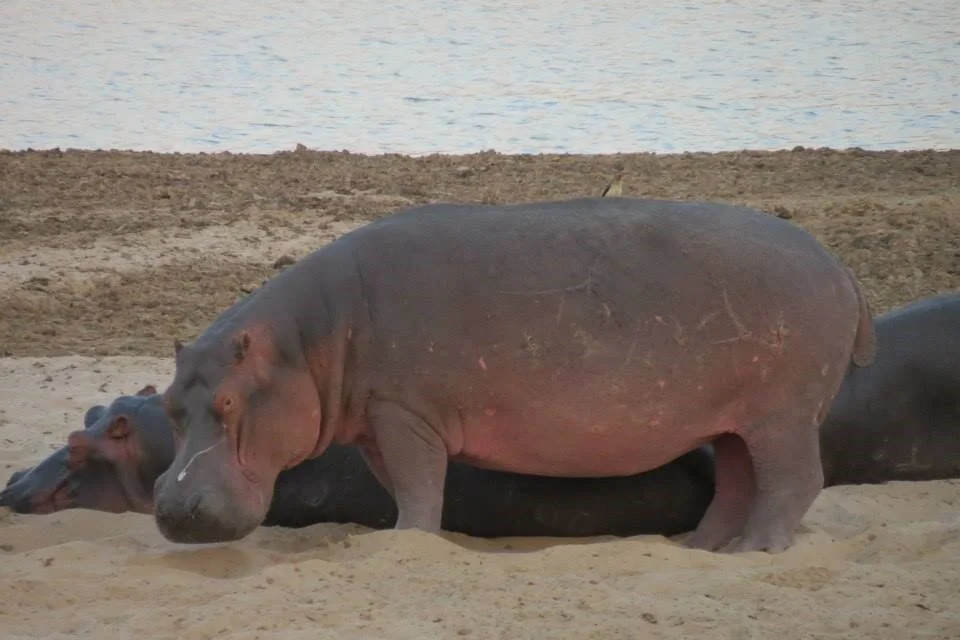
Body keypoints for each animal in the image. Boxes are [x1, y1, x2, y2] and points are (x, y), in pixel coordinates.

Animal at [153, 197, 875, 553]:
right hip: (733, 420)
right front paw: (406, 539)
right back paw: (702, 550)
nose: (171, 507)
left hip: (784, 412)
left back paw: (757, 552)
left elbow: (419, 485)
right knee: (737, 482)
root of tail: (839, 266)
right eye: (167, 405)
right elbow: (404, 486)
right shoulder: (382, 424)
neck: (306, 342)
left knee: (792, 482)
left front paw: (408, 541)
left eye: (227, 402)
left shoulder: (404, 413)